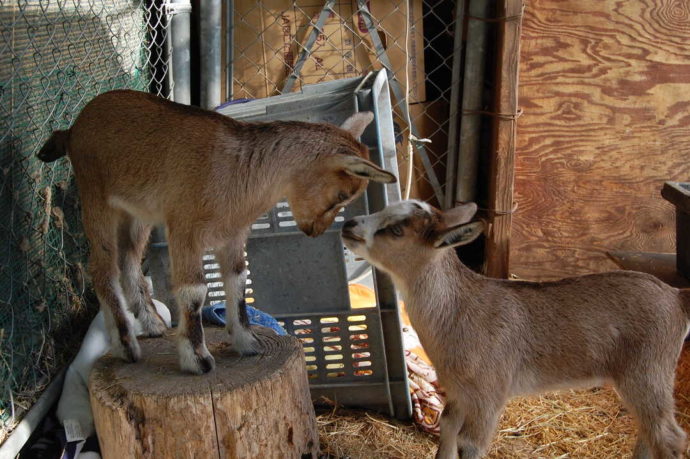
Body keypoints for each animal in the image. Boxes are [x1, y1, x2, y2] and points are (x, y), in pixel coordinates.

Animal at [37, 90, 392, 378]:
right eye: (341, 194)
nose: (314, 231)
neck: (238, 170)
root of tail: (72, 129)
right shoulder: (184, 228)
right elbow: (194, 291)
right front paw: (197, 359)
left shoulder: (233, 236)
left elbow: (238, 281)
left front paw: (248, 342)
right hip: (97, 200)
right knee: (102, 268)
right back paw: (126, 346)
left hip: (138, 214)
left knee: (128, 261)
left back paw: (151, 325)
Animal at [340, 201, 688, 459]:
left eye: (396, 230)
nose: (348, 225)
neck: (459, 311)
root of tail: (676, 297)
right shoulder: (458, 390)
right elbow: (448, 429)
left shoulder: (489, 394)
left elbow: (470, 444)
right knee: (650, 432)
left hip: (647, 370)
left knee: (670, 437)